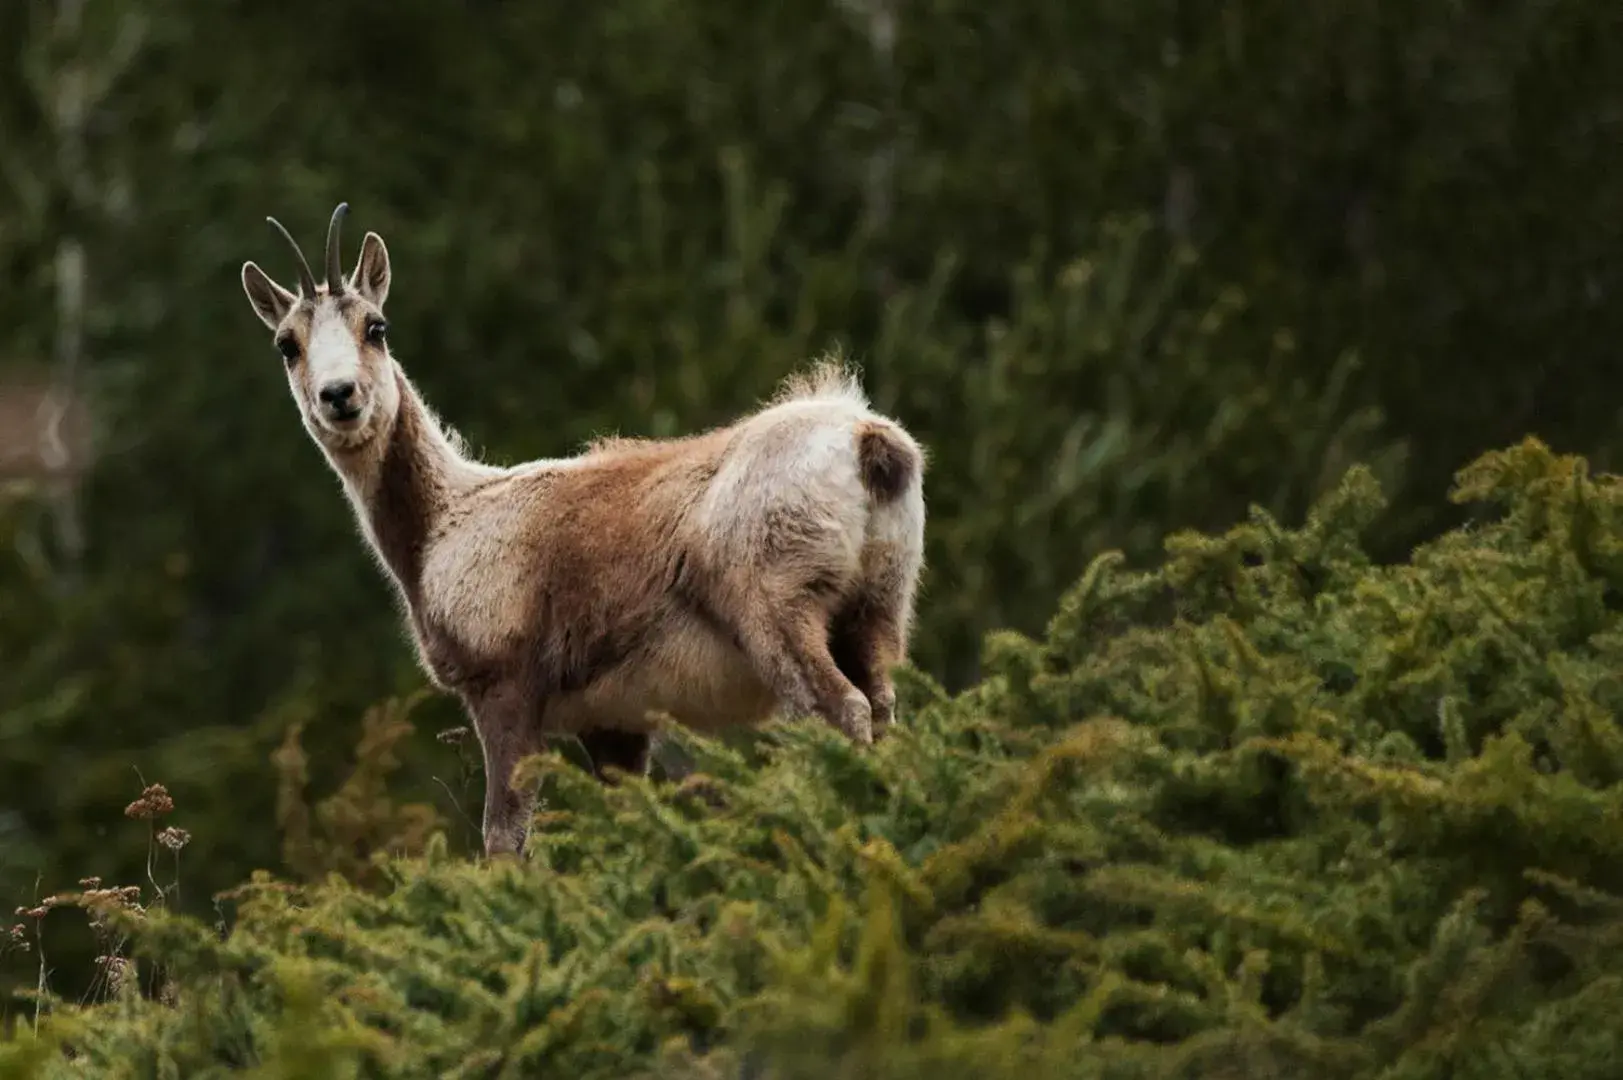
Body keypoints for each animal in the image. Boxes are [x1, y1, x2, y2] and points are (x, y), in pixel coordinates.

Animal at [236, 204, 928, 857]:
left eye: (375, 327)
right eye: (286, 343)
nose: (339, 395)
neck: (448, 523)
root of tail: (869, 442)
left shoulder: (505, 687)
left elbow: (504, 837)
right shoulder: (612, 723)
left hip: (776, 610)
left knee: (840, 708)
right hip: (875, 610)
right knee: (882, 710)